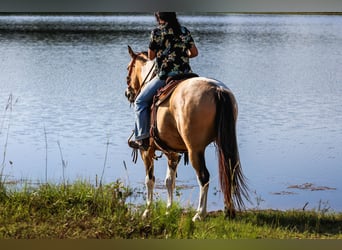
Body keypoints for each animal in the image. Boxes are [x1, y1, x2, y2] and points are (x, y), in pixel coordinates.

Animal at [124, 45, 247, 221]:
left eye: (128, 67)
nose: (128, 93)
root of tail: (217, 90)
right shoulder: (172, 153)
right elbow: (169, 181)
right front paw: (168, 210)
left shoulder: (147, 151)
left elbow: (150, 180)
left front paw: (147, 211)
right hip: (224, 144)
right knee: (228, 173)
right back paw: (228, 210)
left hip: (195, 150)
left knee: (204, 177)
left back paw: (199, 214)